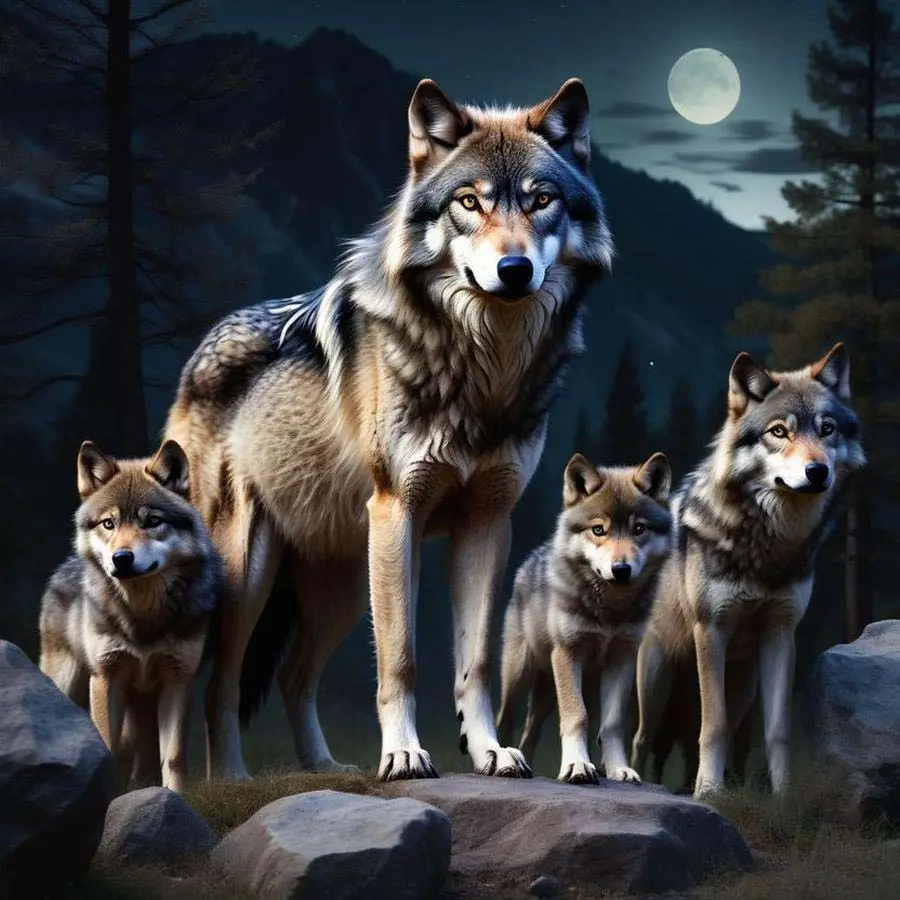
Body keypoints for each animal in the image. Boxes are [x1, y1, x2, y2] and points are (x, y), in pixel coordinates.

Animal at [38, 439, 223, 794]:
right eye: (108, 524)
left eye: (152, 521)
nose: (121, 558)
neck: (142, 615)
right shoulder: (105, 679)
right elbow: (106, 749)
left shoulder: (179, 681)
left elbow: (174, 758)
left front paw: (174, 800)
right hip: (68, 683)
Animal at [164, 75, 614, 782]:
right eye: (468, 202)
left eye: (541, 200)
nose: (514, 270)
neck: (482, 366)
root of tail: (204, 345)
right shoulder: (398, 510)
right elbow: (400, 657)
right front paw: (403, 753)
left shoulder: (489, 520)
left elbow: (475, 661)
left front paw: (489, 751)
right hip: (250, 572)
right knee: (222, 682)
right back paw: (231, 778)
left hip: (344, 589)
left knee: (294, 678)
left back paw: (325, 770)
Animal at [496, 451, 672, 784]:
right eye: (598, 530)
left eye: (639, 529)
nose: (621, 569)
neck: (609, 610)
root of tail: (532, 557)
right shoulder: (568, 653)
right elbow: (577, 717)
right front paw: (577, 766)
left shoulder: (623, 658)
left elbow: (612, 724)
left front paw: (618, 769)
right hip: (520, 674)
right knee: (507, 719)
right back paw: (506, 759)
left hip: (561, 688)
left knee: (531, 730)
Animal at [630, 342, 866, 798]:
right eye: (779, 432)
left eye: (827, 429)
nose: (818, 472)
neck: (768, 546)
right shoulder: (711, 629)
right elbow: (713, 725)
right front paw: (709, 793)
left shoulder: (781, 633)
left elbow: (777, 731)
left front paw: (782, 797)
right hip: (655, 682)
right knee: (640, 739)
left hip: (742, 686)